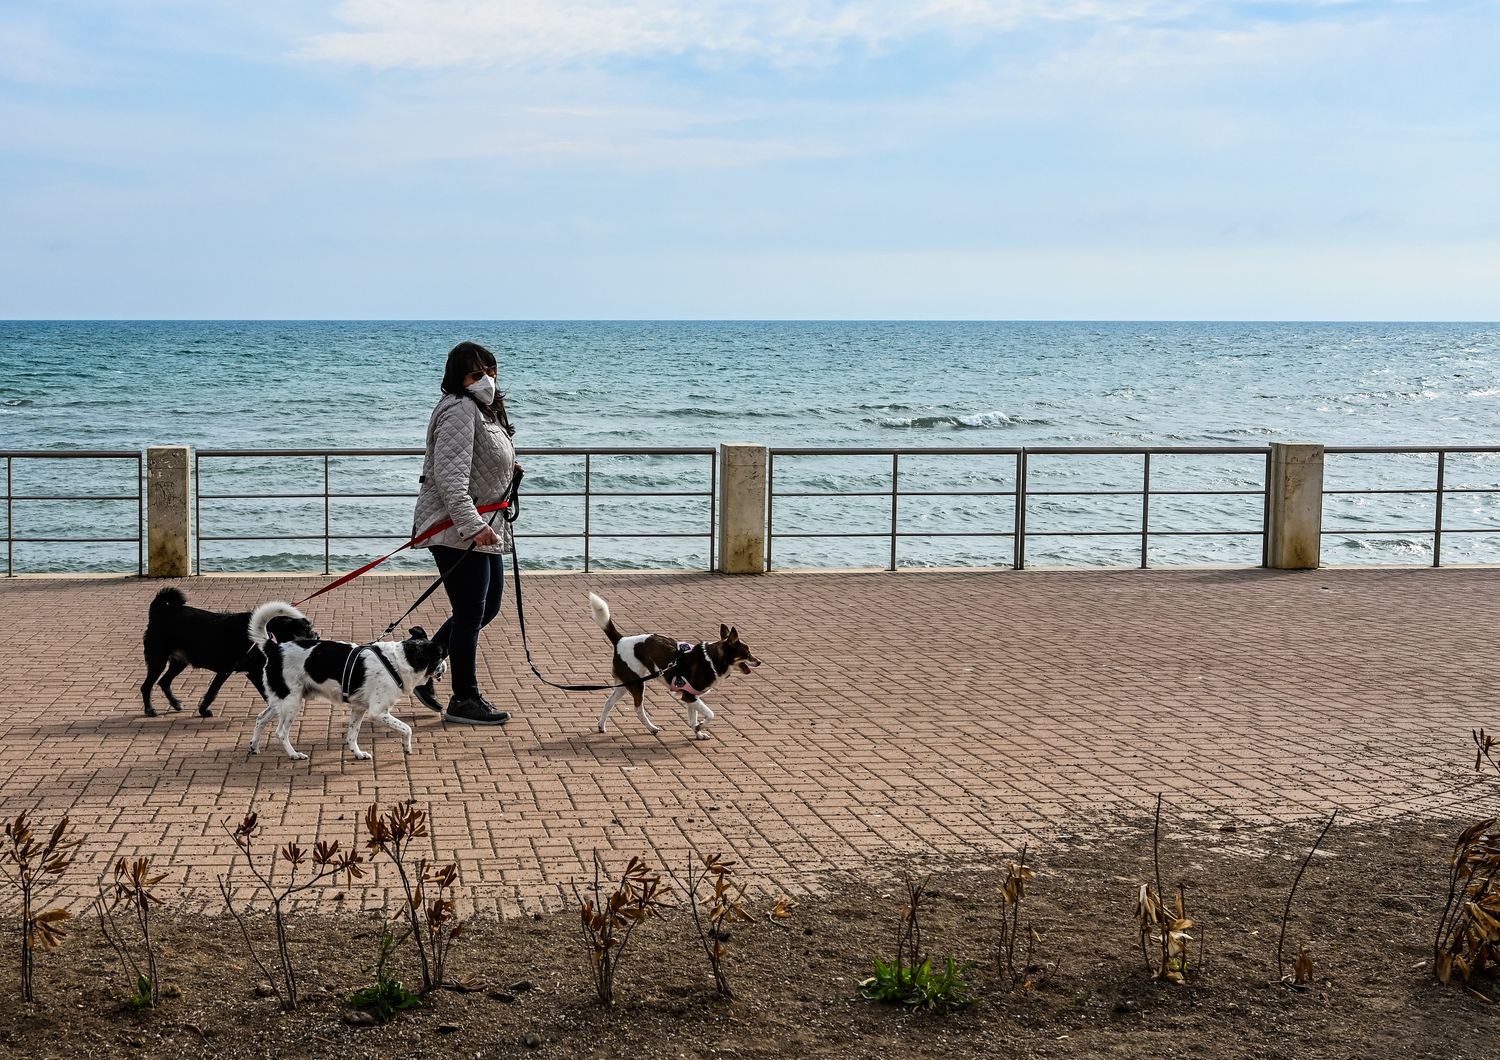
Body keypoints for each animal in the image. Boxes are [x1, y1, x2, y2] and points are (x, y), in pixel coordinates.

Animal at [141, 587, 316, 722]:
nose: (317, 635)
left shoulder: (254, 671)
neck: (268, 630)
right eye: (306, 630)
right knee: (147, 686)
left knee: (164, 681)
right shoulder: (226, 670)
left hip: (179, 661)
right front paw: (203, 710)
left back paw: (175, 703)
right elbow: (212, 693)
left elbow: (265, 693)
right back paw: (150, 709)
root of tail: (159, 611)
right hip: (158, 660)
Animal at [244, 596, 444, 761]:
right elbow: (407, 728)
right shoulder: (378, 712)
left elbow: (351, 735)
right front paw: (407, 747)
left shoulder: (359, 708)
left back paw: (254, 746)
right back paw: (294, 754)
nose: (445, 667)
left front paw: (358, 754)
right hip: (291, 702)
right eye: (441, 657)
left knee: (260, 719)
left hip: (281, 700)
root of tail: (274, 648)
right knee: (280, 733)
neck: (397, 662)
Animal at [588, 593, 762, 743]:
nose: (759, 662)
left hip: (625, 684)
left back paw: (601, 726)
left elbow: (693, 719)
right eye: (747, 653)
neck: (713, 659)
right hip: (637, 683)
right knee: (638, 709)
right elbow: (710, 714)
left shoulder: (690, 696)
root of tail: (620, 639)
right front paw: (700, 727)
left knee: (609, 702)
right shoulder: (690, 696)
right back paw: (651, 727)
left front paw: (698, 732)